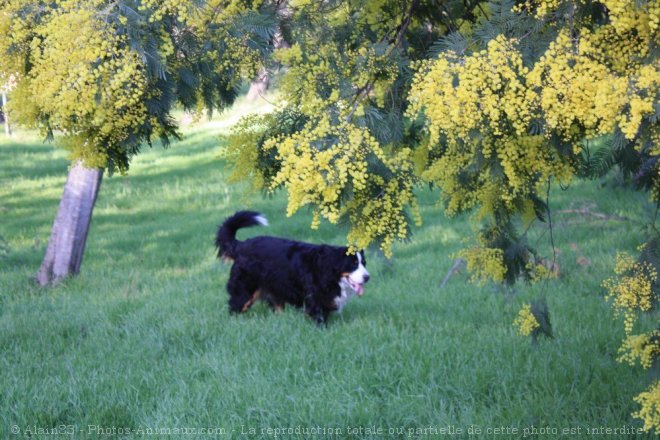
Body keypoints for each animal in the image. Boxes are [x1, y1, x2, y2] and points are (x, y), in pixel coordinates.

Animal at [217, 210, 372, 324]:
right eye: (353, 264)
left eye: (363, 263)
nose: (367, 277)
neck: (329, 271)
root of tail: (240, 245)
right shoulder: (315, 298)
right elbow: (319, 317)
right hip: (245, 288)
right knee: (236, 305)